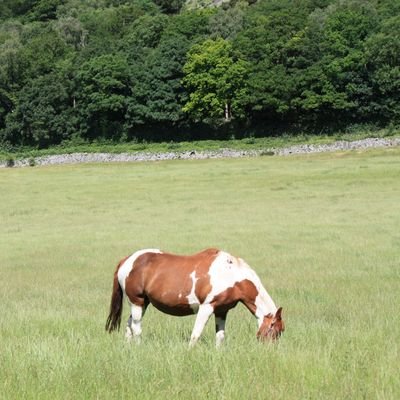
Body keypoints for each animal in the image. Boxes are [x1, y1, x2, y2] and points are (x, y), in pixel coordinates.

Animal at [104, 247, 282, 346]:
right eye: (276, 331)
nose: (270, 352)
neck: (232, 274)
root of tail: (127, 260)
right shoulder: (206, 307)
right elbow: (196, 334)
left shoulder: (222, 311)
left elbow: (220, 336)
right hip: (137, 301)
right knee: (136, 328)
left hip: (143, 303)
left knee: (129, 325)